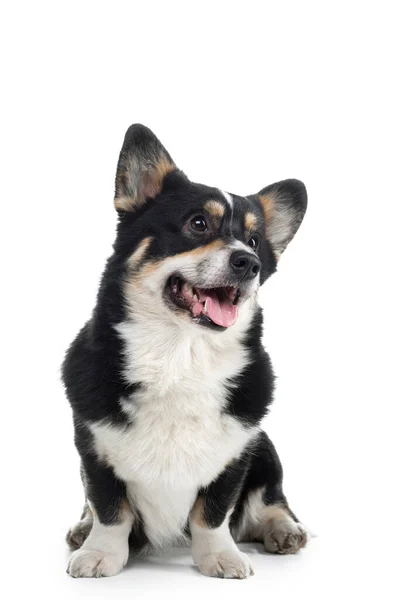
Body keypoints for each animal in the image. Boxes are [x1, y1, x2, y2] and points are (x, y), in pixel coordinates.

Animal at [63, 124, 310, 580]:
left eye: (254, 240)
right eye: (198, 223)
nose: (249, 262)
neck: (180, 357)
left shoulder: (236, 454)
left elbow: (212, 513)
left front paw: (220, 557)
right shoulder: (93, 449)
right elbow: (109, 508)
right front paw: (100, 554)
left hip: (266, 449)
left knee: (271, 499)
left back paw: (283, 529)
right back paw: (82, 528)